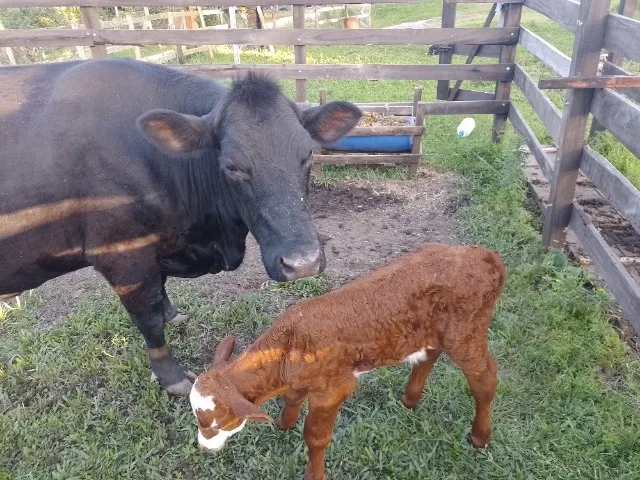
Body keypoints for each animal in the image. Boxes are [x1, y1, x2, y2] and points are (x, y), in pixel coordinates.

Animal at [0, 59, 362, 396]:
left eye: (309, 154)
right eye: (231, 166)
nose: (302, 263)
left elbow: (160, 293)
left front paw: (173, 314)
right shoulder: (121, 255)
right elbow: (148, 318)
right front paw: (171, 377)